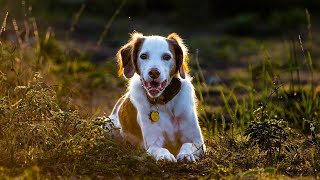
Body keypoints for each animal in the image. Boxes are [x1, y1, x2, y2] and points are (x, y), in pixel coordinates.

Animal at [108, 31, 205, 162]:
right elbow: (160, 149)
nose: (154, 72)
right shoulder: (153, 143)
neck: (164, 102)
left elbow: (187, 144)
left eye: (167, 57)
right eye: (143, 56)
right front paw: (165, 156)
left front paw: (186, 155)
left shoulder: (198, 142)